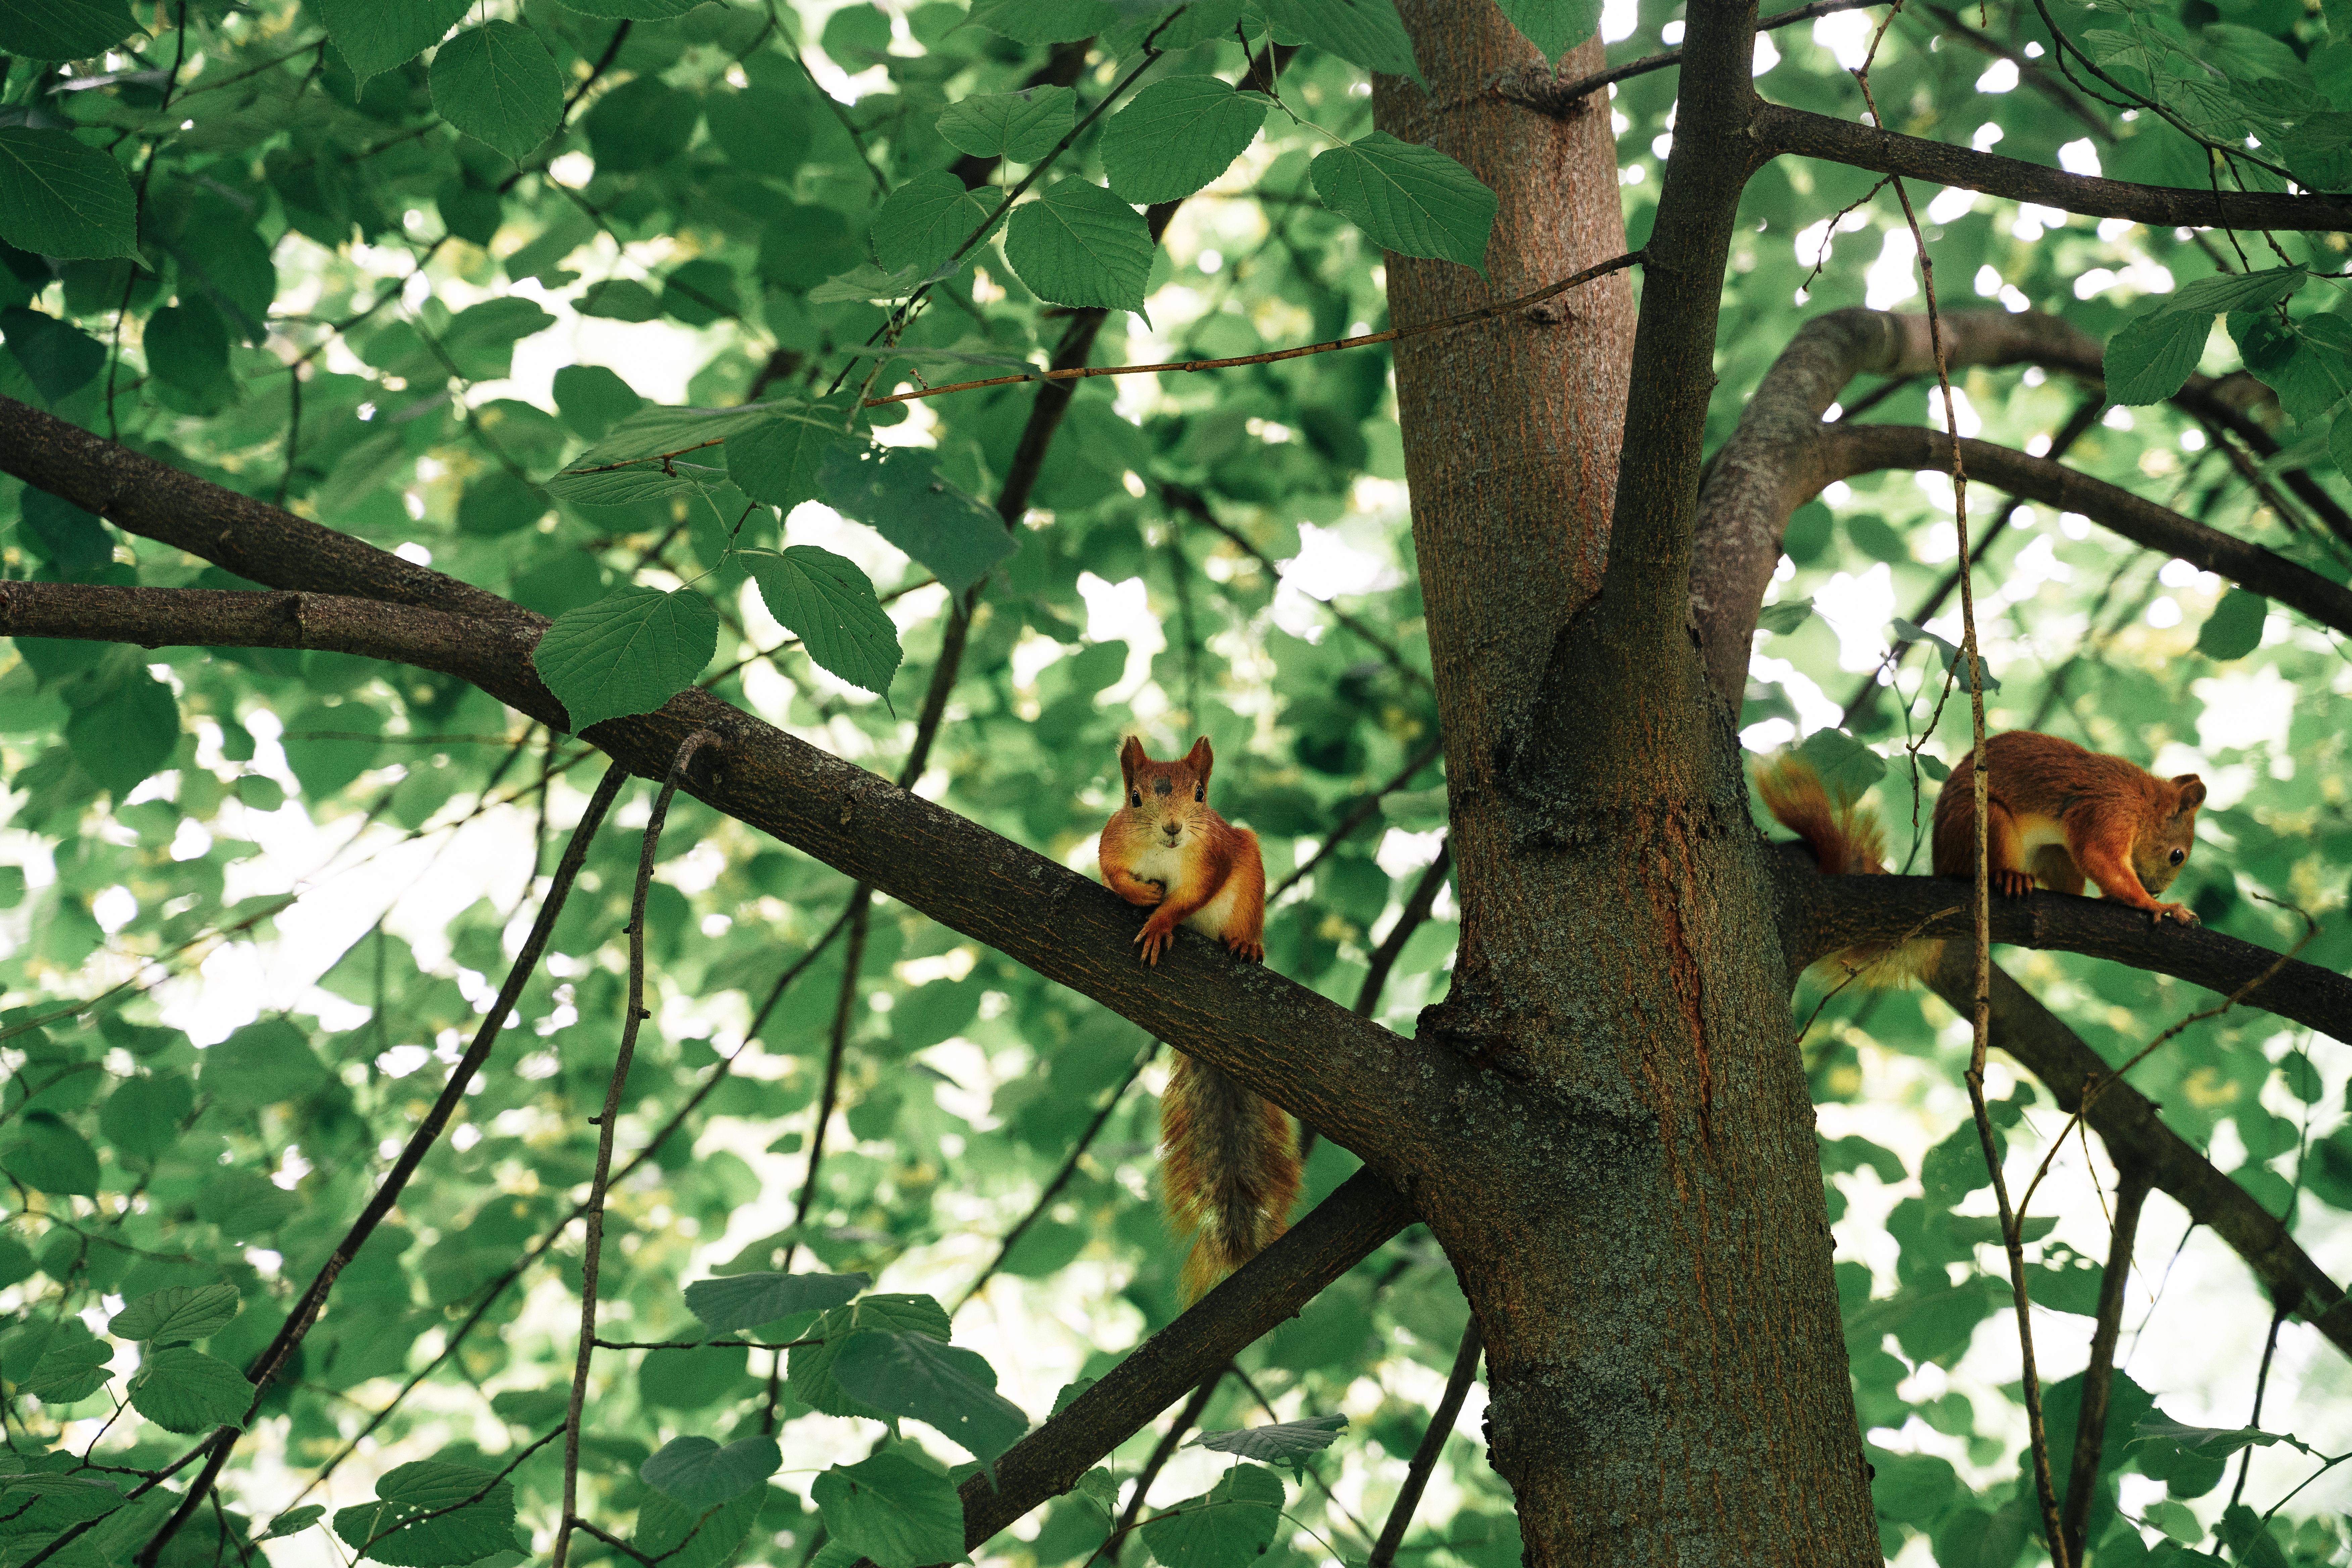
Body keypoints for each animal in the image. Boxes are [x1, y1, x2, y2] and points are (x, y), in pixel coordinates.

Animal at [1098, 735, 1298, 1302]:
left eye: (1201, 796)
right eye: (1135, 799)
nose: (1173, 829)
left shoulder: (1214, 861)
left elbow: (1190, 899)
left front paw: (1161, 921)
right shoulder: (1112, 841)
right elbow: (1111, 873)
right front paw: (1140, 894)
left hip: (1248, 872)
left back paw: (1244, 944)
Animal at [1759, 730, 2208, 983]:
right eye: (2178, 855)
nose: (2157, 888)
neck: (2143, 801)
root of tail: (1941, 863)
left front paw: (2137, 899)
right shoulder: (2109, 812)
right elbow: (2100, 856)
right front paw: (2161, 906)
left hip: (2050, 850)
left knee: (2068, 880)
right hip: (1986, 823)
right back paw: (2008, 877)